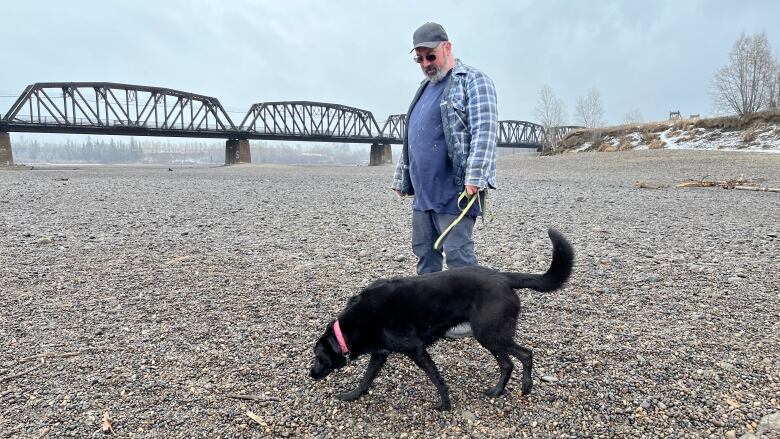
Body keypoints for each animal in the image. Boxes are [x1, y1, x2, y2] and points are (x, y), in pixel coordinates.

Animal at [310, 229, 572, 410]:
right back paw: (502, 390)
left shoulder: (416, 350)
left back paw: (522, 387)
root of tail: (503, 277)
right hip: (492, 336)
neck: (353, 324)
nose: (311, 374)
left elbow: (436, 379)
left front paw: (445, 404)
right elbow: (366, 377)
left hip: (490, 334)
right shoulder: (380, 353)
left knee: (523, 356)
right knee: (510, 362)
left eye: (318, 356)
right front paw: (353, 394)